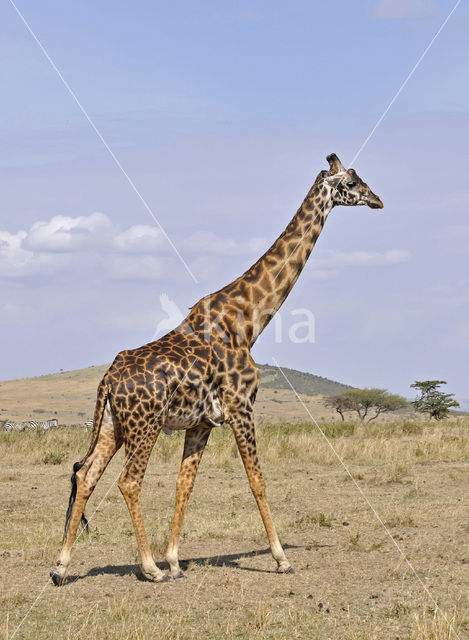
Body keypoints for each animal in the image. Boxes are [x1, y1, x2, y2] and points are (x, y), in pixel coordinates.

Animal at [50, 154, 380, 584]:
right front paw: (281, 558)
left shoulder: (202, 423)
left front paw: (175, 559)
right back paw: (149, 568)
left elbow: (184, 484)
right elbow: (257, 479)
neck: (249, 320)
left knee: (86, 475)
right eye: (353, 182)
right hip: (145, 424)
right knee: (128, 480)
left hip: (111, 423)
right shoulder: (241, 407)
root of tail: (108, 379)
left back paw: (61, 566)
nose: (378, 200)